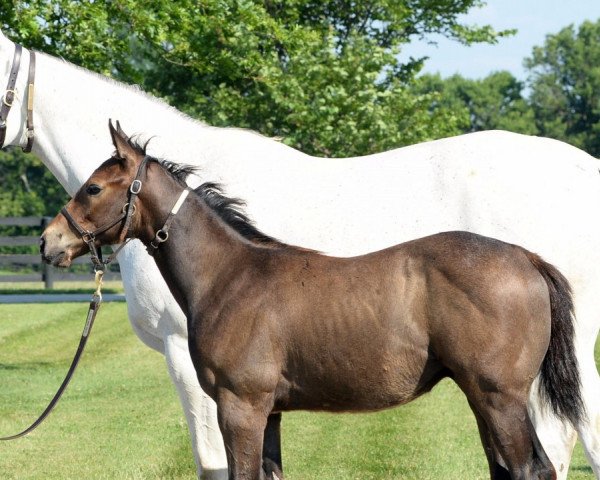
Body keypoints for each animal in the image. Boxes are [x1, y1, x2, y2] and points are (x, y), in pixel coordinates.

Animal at [0, 31, 596, 478]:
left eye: (94, 188)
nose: (50, 241)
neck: (231, 275)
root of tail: (527, 259)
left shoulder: (237, 404)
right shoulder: (269, 413)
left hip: (502, 395)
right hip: (488, 395)